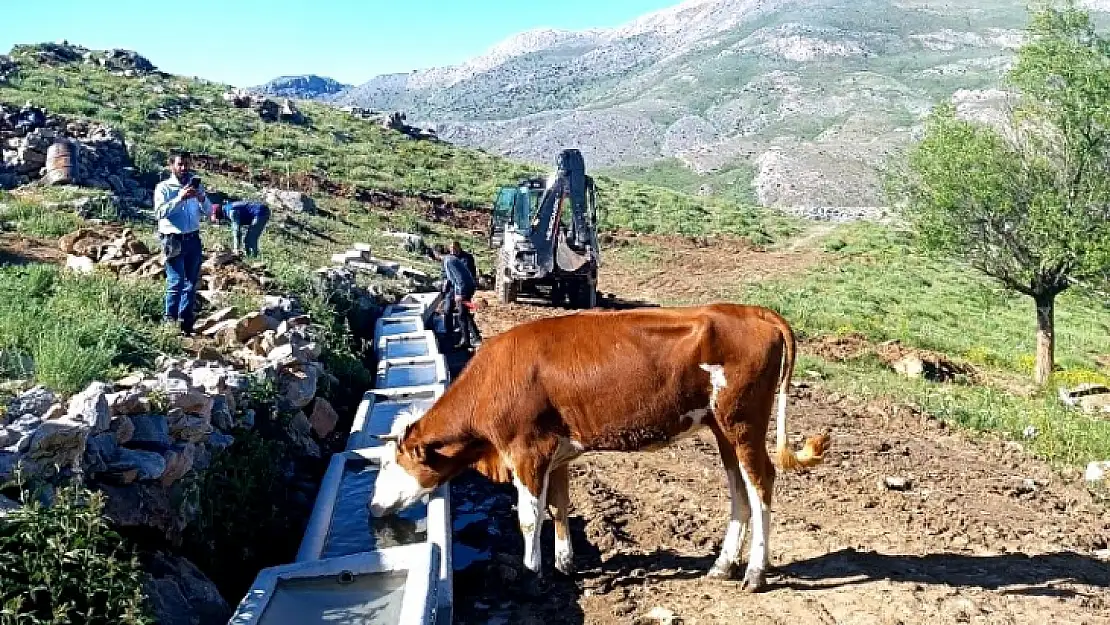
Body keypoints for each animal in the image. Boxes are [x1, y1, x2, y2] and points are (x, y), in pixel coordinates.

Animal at [368, 304, 830, 590]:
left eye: (389, 466)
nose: (372, 508)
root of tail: (751, 310)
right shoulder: (555, 452)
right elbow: (559, 506)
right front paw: (564, 563)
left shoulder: (526, 449)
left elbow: (528, 517)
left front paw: (529, 574)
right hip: (723, 429)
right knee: (739, 492)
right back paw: (722, 566)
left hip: (743, 422)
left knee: (762, 483)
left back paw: (755, 573)